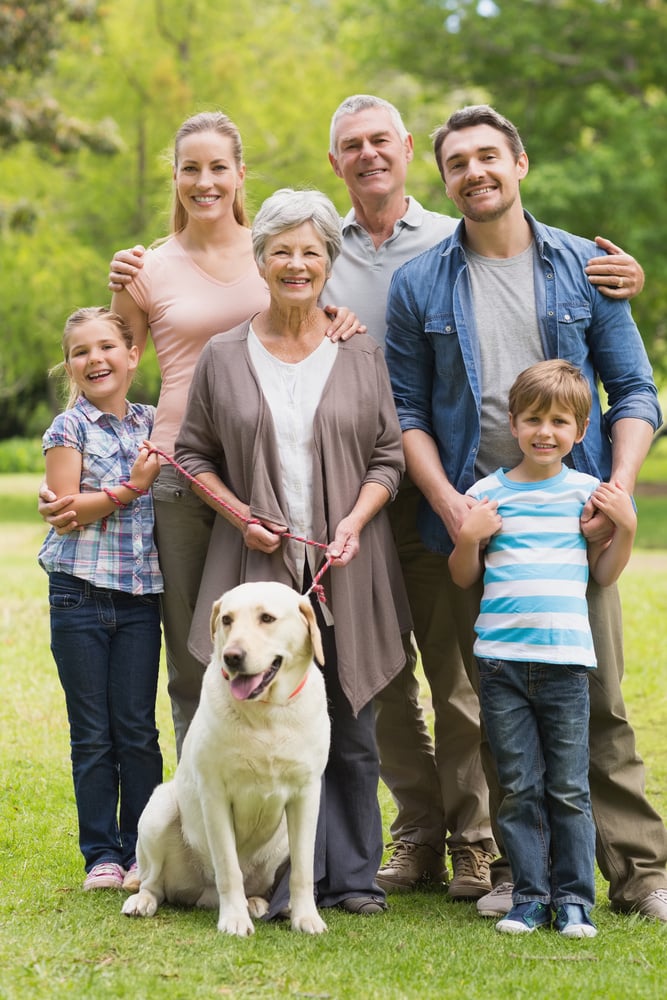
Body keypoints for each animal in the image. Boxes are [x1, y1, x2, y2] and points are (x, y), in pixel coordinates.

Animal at [122, 584, 332, 932]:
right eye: (227, 620)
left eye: (267, 618)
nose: (232, 656)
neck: (265, 715)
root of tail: (201, 895)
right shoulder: (215, 795)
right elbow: (228, 866)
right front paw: (234, 919)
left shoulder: (307, 795)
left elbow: (302, 869)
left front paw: (306, 918)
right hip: (160, 808)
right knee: (154, 882)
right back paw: (143, 900)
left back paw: (258, 903)